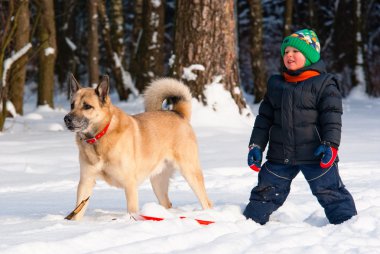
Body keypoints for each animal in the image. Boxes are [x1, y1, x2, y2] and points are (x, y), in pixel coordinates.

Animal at [63, 74, 212, 220]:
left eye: (87, 106)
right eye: (72, 105)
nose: (67, 119)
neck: (100, 136)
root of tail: (178, 113)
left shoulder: (129, 184)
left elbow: (133, 211)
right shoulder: (86, 182)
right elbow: (77, 212)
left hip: (190, 172)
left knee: (207, 202)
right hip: (157, 181)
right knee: (167, 204)